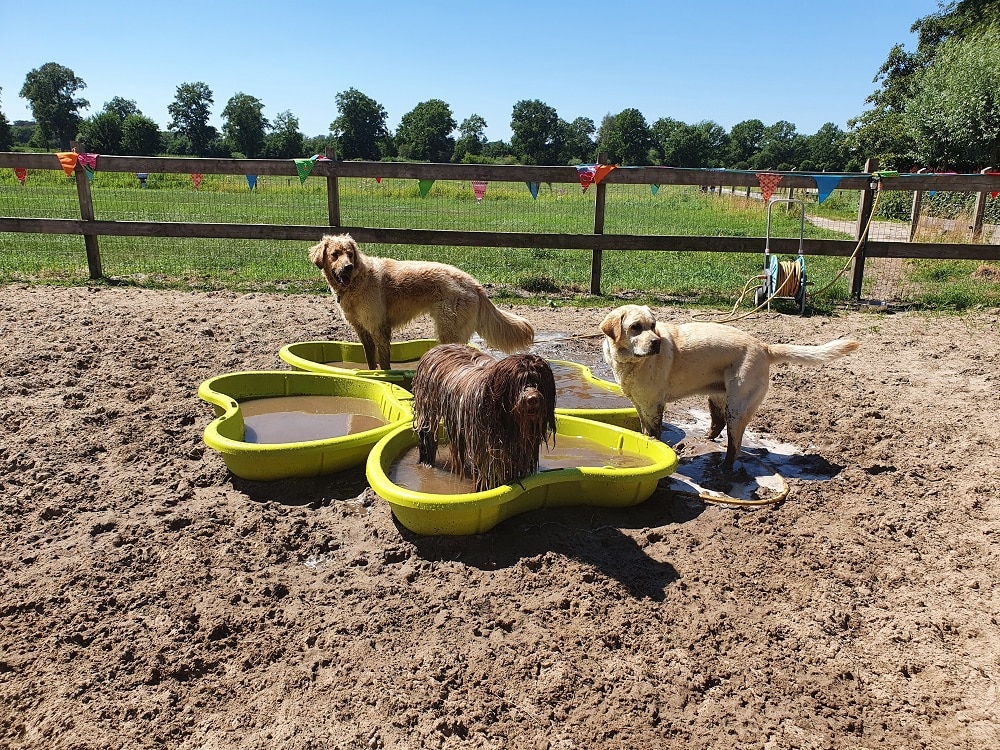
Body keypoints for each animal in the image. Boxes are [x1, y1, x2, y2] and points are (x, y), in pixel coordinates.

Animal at [308, 232, 536, 368]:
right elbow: (370, 360)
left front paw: (384, 377)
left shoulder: (379, 327)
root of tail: (474, 283)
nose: (348, 267)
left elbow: (384, 361)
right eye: (335, 254)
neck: (357, 280)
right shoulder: (362, 329)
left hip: (448, 328)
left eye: (350, 254)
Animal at [410, 346, 560, 494]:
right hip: (428, 411)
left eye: (538, 381)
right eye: (518, 383)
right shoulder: (487, 447)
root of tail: (434, 348)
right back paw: (427, 462)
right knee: (427, 439)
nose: (532, 399)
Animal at [600, 306, 860, 470]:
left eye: (652, 326)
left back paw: (724, 468)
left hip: (738, 405)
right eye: (635, 327)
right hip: (717, 397)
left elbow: (653, 435)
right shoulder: (640, 404)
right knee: (718, 423)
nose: (656, 343)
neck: (629, 361)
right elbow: (645, 431)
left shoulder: (654, 405)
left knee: (735, 444)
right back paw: (707, 439)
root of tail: (764, 347)